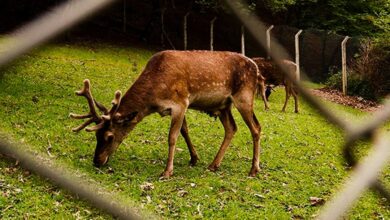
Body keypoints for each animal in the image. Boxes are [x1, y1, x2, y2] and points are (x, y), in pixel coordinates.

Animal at [70, 50, 266, 178]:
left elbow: (172, 137)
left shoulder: (180, 102)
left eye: (109, 136)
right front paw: (194, 159)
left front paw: (167, 171)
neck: (154, 96)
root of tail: (258, 70)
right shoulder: (181, 106)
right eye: (96, 135)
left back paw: (254, 169)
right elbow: (184, 131)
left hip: (244, 97)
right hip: (224, 105)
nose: (97, 160)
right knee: (232, 128)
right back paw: (213, 165)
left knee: (256, 127)